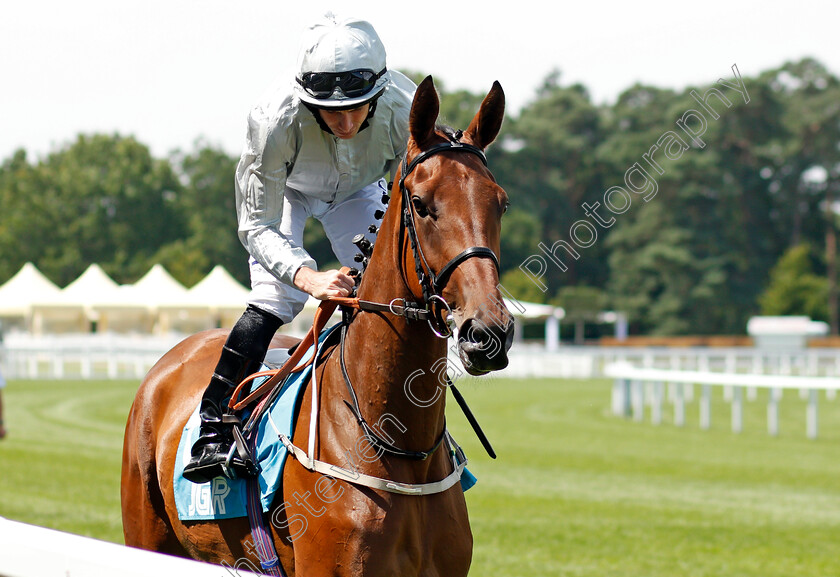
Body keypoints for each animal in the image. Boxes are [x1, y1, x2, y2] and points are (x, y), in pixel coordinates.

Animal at [121, 76, 516, 576]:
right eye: (422, 204)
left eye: (500, 203)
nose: (487, 333)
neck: (396, 442)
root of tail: (175, 356)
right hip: (145, 536)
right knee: (270, 296)